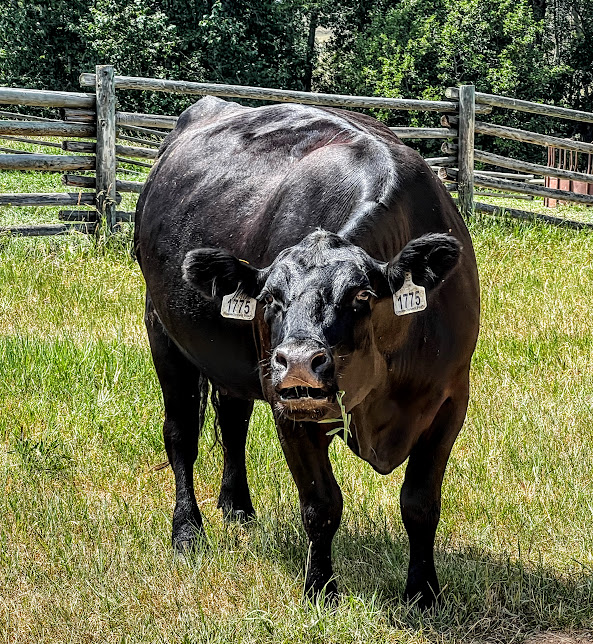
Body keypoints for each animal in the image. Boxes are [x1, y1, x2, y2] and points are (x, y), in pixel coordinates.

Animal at [134, 96, 480, 608]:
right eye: (270, 298)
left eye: (360, 296)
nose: (297, 362)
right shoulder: (290, 407)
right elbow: (321, 505)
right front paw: (320, 589)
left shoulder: (451, 398)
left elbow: (420, 504)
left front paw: (423, 592)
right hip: (164, 332)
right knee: (181, 436)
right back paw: (188, 530)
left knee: (232, 419)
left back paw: (237, 507)